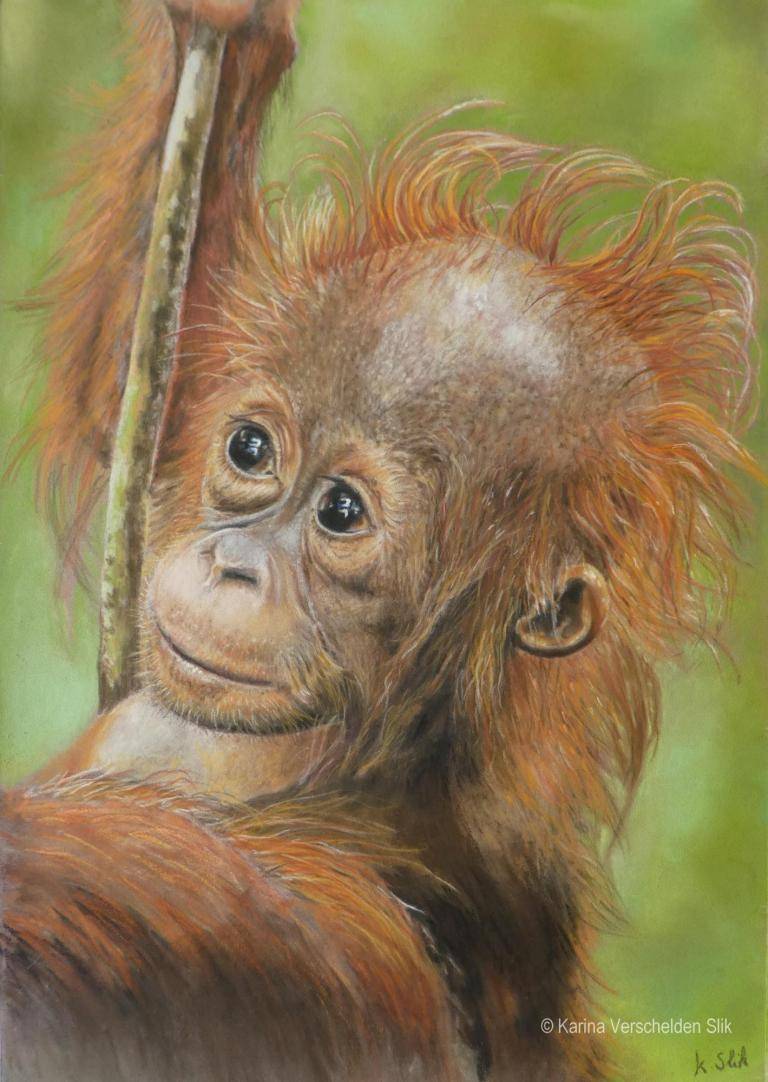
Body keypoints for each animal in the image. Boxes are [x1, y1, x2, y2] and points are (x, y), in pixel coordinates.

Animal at [2, 0, 759, 1079]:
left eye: (342, 514)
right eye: (250, 448)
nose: (233, 563)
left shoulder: (336, 922)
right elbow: (140, 400)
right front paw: (236, 31)